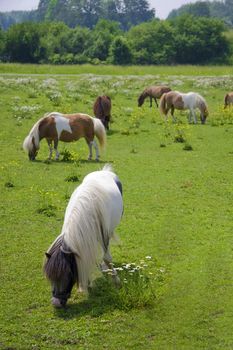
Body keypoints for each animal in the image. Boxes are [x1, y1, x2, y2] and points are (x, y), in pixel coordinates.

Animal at [44, 165, 124, 308]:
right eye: (50, 277)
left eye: (69, 274)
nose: (56, 303)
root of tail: (104, 171)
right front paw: (88, 283)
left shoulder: (103, 236)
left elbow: (107, 258)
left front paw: (116, 281)